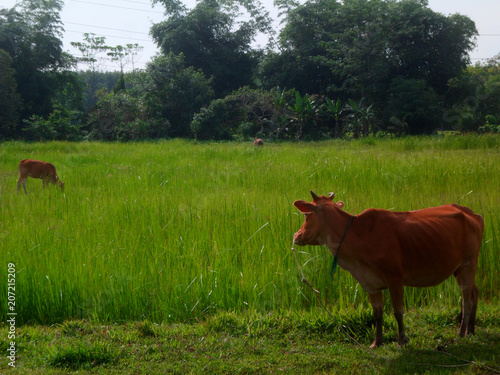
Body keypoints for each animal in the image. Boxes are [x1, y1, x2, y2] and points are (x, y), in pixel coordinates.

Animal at [292, 192, 484, 348]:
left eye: (306, 214)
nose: (296, 236)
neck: (358, 234)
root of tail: (471, 213)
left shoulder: (395, 279)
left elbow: (398, 311)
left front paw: (402, 341)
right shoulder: (370, 283)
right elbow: (377, 313)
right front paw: (377, 342)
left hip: (469, 263)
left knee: (466, 299)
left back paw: (461, 332)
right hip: (458, 268)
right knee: (474, 292)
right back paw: (471, 330)